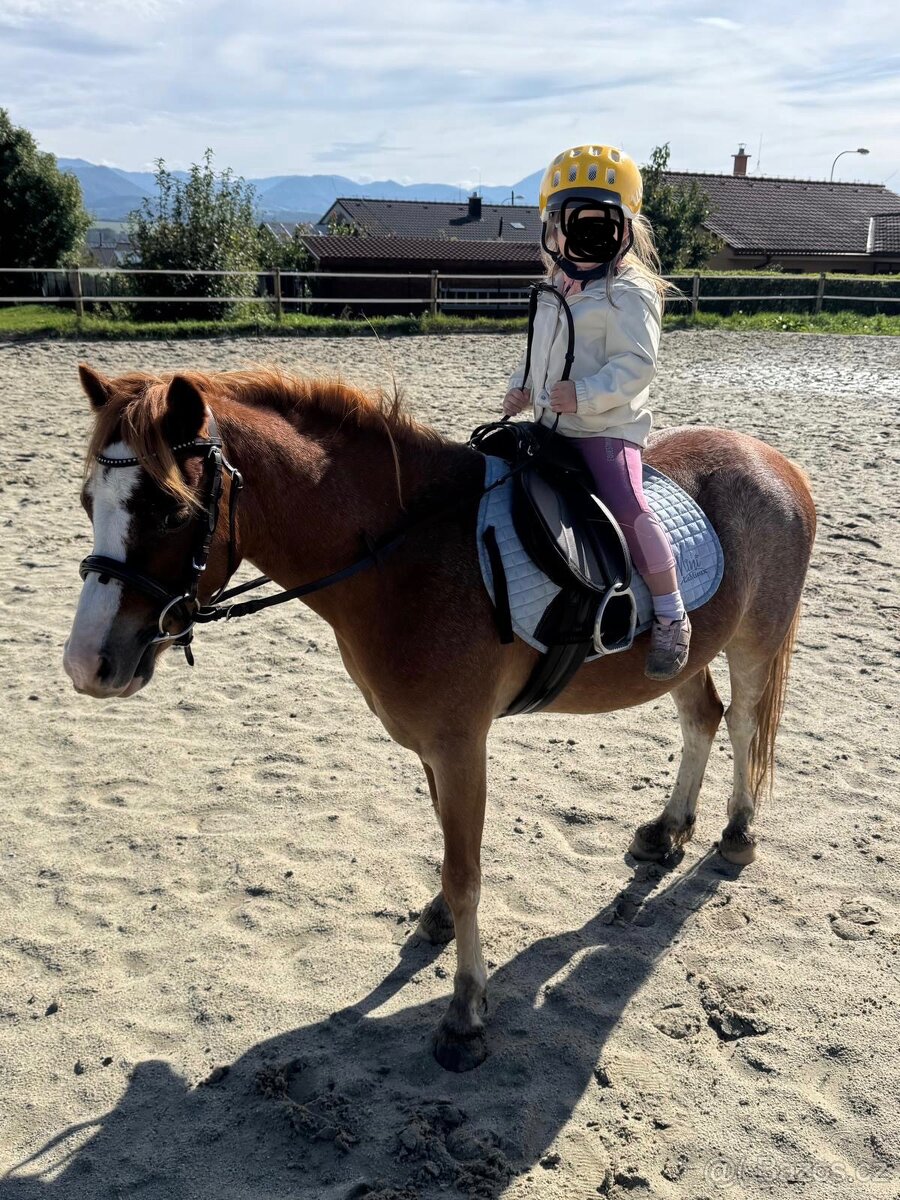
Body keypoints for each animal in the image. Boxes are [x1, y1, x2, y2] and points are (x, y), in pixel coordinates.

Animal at [64, 364, 816, 1072]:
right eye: (87, 502)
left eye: (169, 510)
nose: (86, 665)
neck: (404, 556)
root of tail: (772, 459)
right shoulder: (431, 747)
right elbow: (448, 855)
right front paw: (438, 924)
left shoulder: (460, 746)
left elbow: (466, 873)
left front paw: (465, 1013)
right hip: (682, 657)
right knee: (702, 720)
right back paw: (667, 832)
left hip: (755, 641)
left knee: (744, 725)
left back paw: (737, 836)